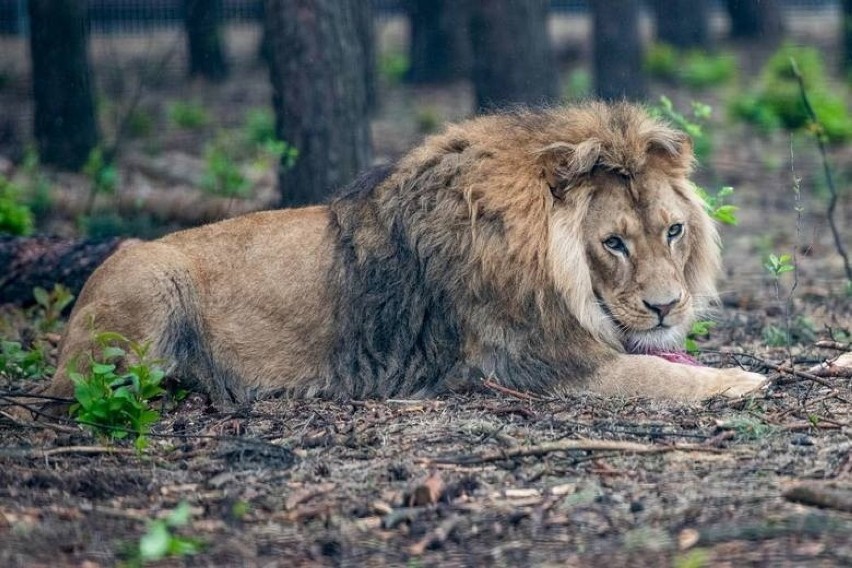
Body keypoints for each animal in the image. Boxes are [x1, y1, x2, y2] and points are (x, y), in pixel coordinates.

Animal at [35, 100, 764, 406]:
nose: (668, 307)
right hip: (148, 289)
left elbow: (665, 361)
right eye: (613, 243)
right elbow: (658, 376)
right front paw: (743, 381)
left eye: (673, 231)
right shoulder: (536, 366)